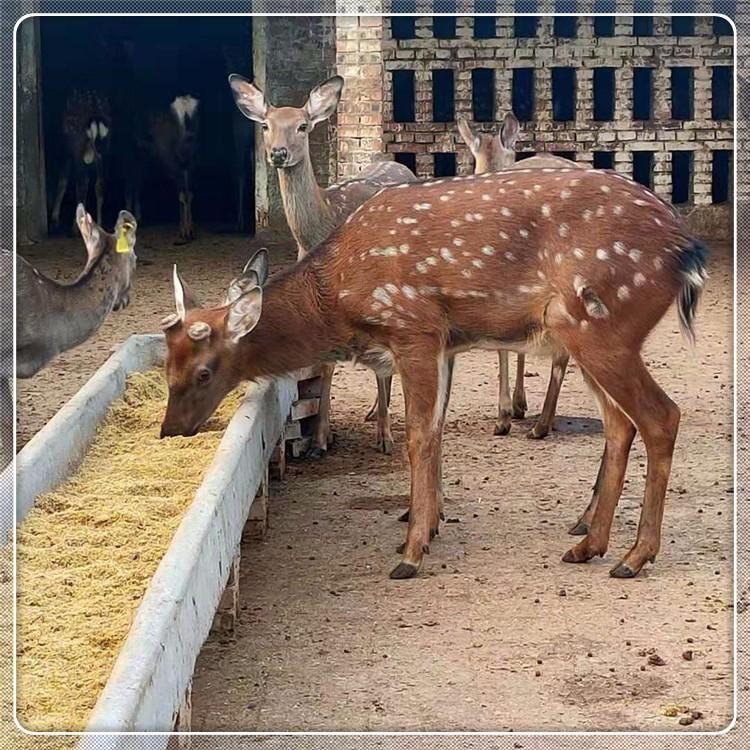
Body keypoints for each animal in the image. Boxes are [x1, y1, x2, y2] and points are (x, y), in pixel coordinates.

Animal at [50, 90, 112, 232]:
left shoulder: (65, 153)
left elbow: (62, 182)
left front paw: (54, 220)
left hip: (77, 146)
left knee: (82, 184)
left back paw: (75, 226)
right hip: (103, 150)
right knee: (100, 184)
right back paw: (100, 224)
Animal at [159, 169, 712, 580]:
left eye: (204, 371)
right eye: (165, 365)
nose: (169, 429)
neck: (337, 296)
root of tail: (688, 251)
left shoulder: (413, 327)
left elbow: (419, 435)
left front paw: (411, 551)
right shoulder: (445, 341)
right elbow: (437, 429)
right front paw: (426, 525)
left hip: (600, 324)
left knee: (661, 416)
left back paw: (634, 556)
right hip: (586, 335)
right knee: (620, 425)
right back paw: (589, 545)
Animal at [229, 73, 418, 458]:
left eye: (302, 126)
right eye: (266, 125)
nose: (278, 153)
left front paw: (384, 438)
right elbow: (325, 365)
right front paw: (320, 439)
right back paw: (373, 411)